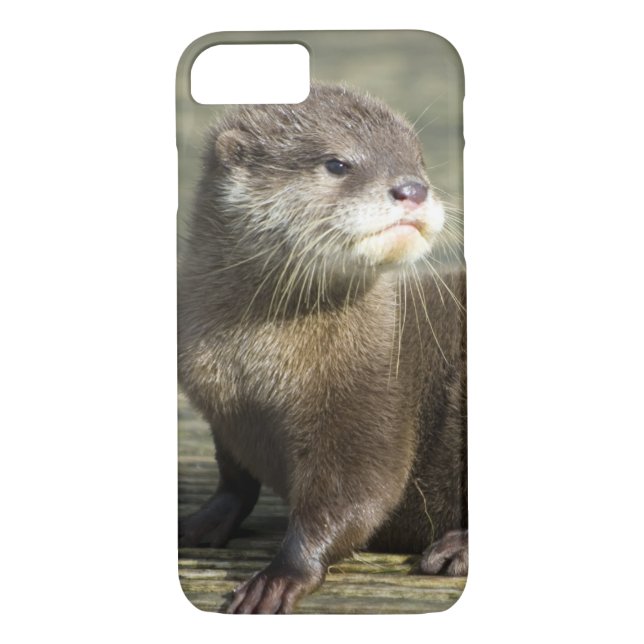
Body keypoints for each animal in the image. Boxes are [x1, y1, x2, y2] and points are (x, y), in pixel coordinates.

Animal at [178, 84, 467, 614]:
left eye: (417, 160)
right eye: (337, 163)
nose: (413, 189)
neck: (253, 372)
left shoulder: (370, 403)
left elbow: (356, 497)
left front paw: (278, 577)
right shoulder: (221, 415)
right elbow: (235, 481)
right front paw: (202, 521)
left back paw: (454, 549)